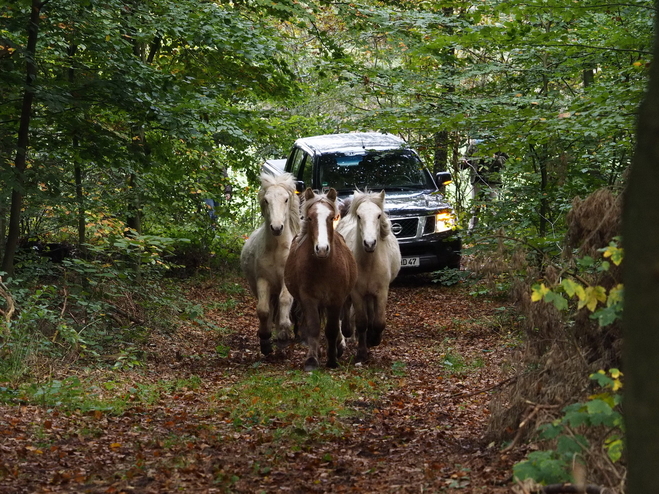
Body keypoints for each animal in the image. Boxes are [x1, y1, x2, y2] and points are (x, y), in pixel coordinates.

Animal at [241, 172, 300, 354]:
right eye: (266, 200)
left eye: (286, 199)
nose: (276, 227)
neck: (276, 250)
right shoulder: (263, 280)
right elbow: (263, 310)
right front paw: (265, 339)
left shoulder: (286, 281)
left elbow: (284, 301)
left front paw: (283, 335)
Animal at [284, 189, 356, 370]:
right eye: (310, 218)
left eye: (332, 217)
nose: (322, 249)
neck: (323, 267)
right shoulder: (308, 299)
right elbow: (314, 327)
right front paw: (312, 359)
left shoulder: (336, 299)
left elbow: (332, 329)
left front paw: (332, 360)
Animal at [336, 190, 402, 362]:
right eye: (359, 216)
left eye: (379, 215)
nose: (370, 243)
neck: (369, 262)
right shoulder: (357, 293)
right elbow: (361, 323)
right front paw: (361, 353)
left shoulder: (381, 292)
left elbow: (378, 322)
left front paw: (374, 339)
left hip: (371, 294)